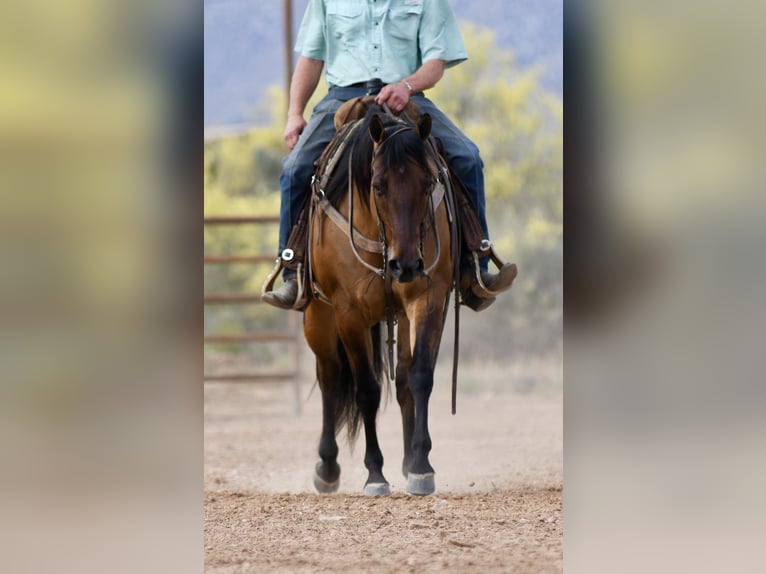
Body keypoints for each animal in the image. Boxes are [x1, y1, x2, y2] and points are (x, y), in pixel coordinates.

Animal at [303, 100, 455, 496]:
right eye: (378, 185)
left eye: (428, 181)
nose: (406, 264)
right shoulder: (348, 313)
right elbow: (367, 391)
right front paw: (374, 474)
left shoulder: (428, 298)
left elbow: (420, 376)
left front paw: (420, 466)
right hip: (318, 317)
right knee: (330, 376)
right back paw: (327, 467)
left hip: (399, 314)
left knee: (401, 379)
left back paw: (406, 460)